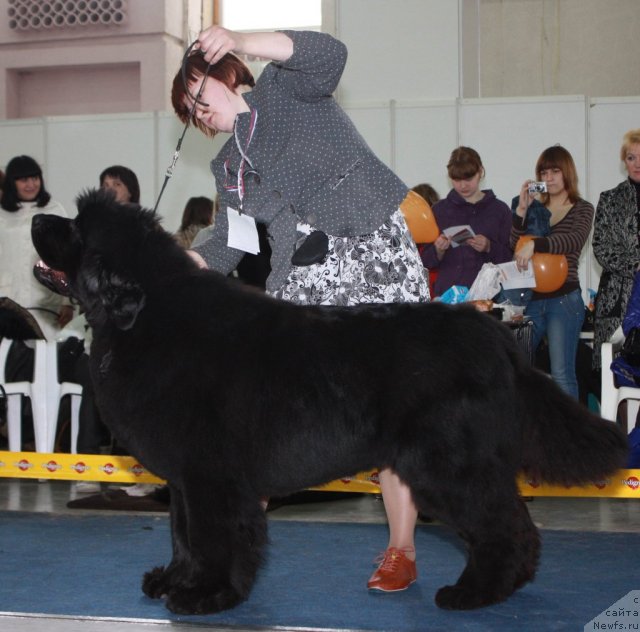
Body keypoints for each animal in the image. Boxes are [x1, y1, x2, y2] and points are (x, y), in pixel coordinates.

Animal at [32, 190, 628, 616]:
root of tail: (496, 336)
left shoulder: (211, 475)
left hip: (447, 464)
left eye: (77, 228)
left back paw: (474, 594)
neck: (145, 316)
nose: (38, 220)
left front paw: (207, 596)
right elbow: (183, 535)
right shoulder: (185, 478)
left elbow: (213, 537)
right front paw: (172, 580)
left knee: (501, 524)